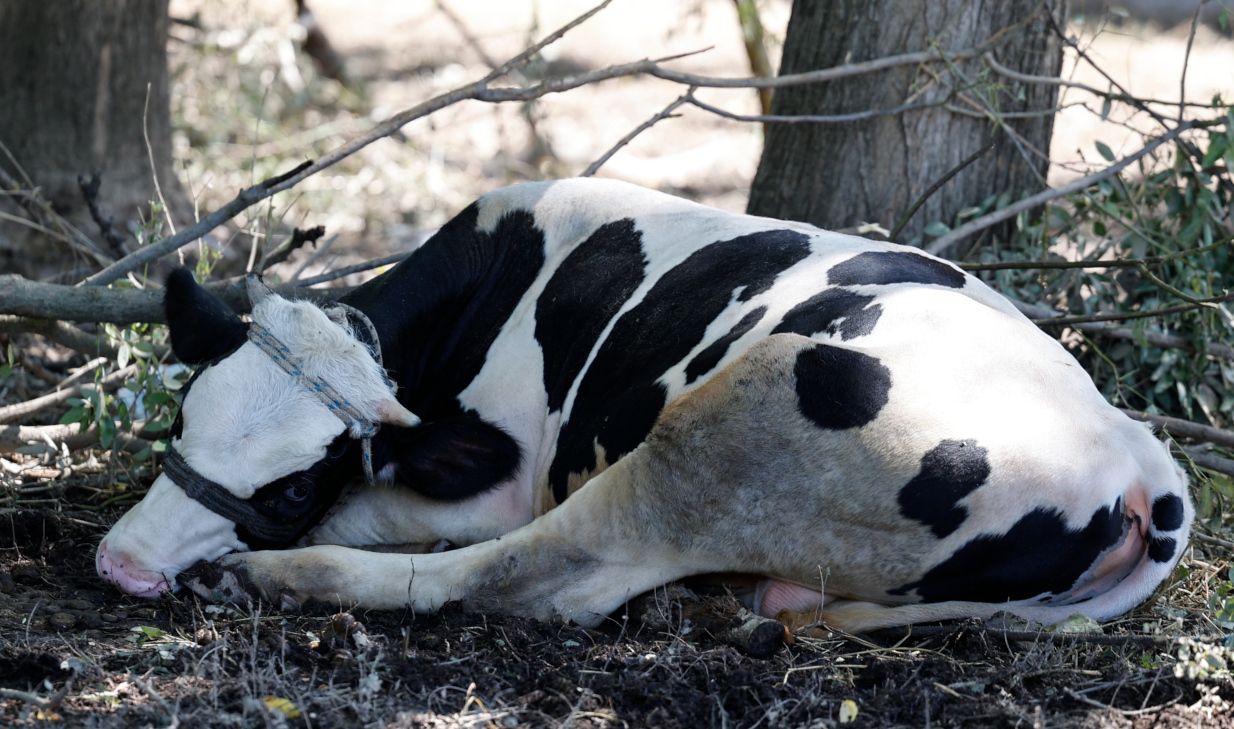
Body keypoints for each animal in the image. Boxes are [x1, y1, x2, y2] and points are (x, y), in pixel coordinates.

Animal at [96, 176, 1194, 631]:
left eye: (289, 487)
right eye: (181, 421)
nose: (124, 564)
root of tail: (1141, 456)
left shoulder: (498, 481)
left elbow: (372, 513)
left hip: (733, 425)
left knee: (542, 578)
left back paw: (272, 582)